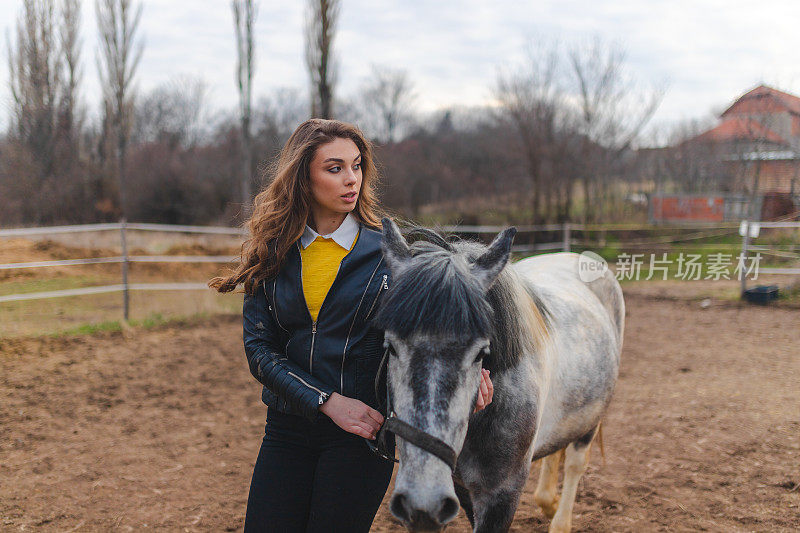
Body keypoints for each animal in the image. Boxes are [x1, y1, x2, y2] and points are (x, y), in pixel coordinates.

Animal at [374, 218, 624, 528]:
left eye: (482, 352)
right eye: (391, 346)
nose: (422, 502)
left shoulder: (501, 495)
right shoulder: (460, 489)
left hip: (591, 419)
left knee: (576, 462)